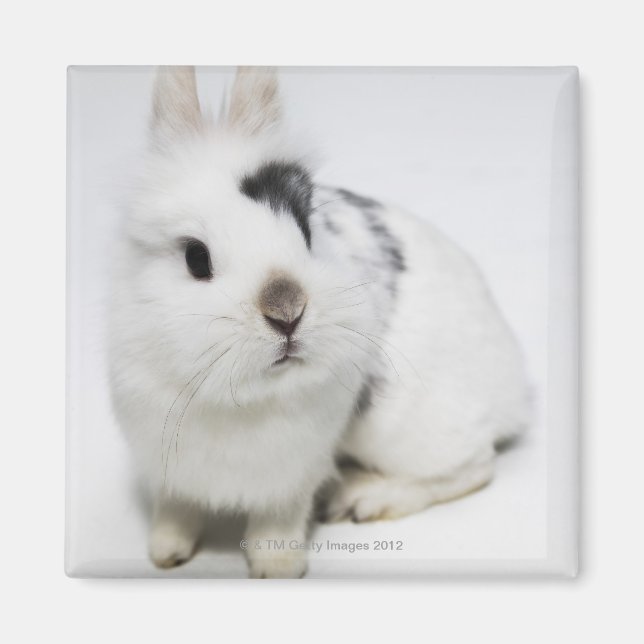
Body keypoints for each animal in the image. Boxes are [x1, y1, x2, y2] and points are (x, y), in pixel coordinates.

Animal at [108, 66, 530, 579]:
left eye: (306, 231)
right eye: (195, 257)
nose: (287, 312)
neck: (240, 397)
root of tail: (515, 388)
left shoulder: (294, 469)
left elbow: (279, 518)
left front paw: (277, 568)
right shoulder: (166, 461)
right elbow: (174, 508)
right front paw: (165, 553)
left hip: (404, 428)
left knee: (474, 467)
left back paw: (367, 498)